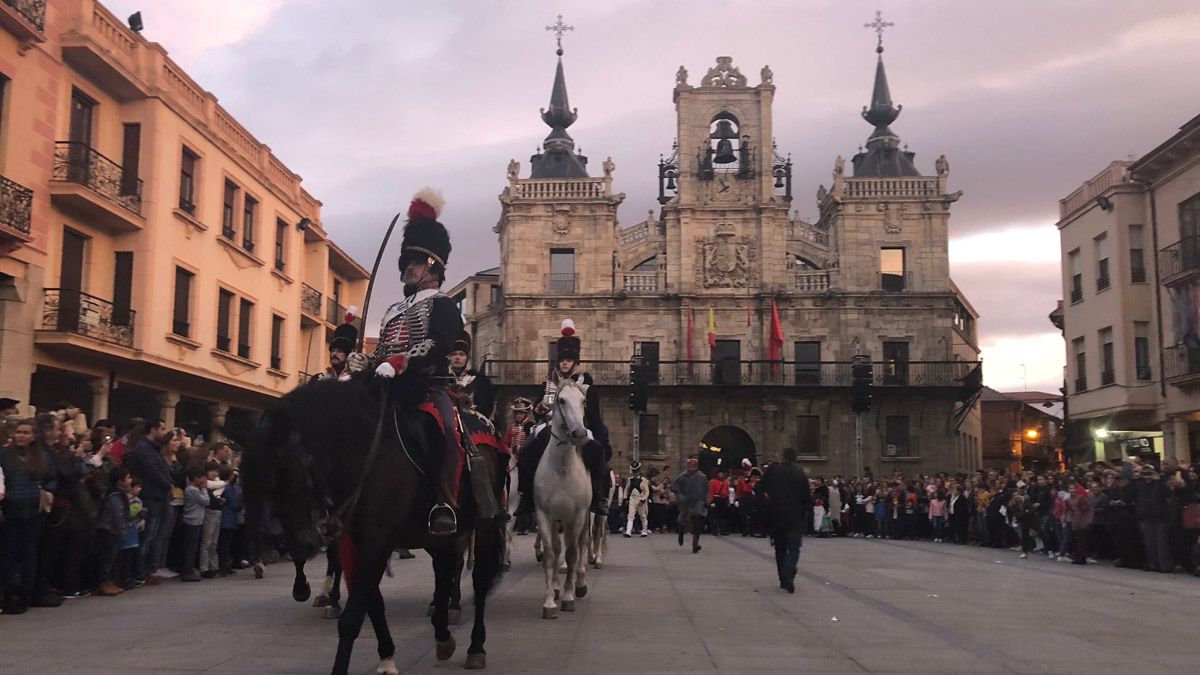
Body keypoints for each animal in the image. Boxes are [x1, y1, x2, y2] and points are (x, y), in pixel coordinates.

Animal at [243, 372, 506, 672]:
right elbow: (372, 602)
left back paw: (475, 646)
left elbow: (354, 614)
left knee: (479, 580)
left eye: (297, 472)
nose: (302, 546)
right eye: (267, 487)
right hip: (437, 535)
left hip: (483, 525)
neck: (365, 451)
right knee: (444, 568)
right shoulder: (360, 543)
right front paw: (387, 657)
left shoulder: (377, 542)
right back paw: (442, 634)